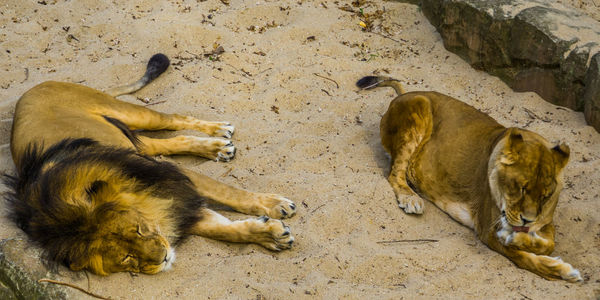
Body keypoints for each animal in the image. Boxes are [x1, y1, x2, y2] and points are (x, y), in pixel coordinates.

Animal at [3, 53, 296, 274]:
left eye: (139, 230)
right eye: (127, 258)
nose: (163, 258)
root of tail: (31, 90)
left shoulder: (171, 179)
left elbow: (230, 193)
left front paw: (275, 206)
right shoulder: (172, 207)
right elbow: (225, 230)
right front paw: (270, 235)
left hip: (132, 115)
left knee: (173, 119)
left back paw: (219, 131)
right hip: (130, 142)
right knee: (166, 142)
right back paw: (217, 148)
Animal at [356, 75, 580, 282]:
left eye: (546, 195)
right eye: (520, 188)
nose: (527, 221)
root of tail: (404, 94)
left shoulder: (545, 223)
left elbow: (549, 245)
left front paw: (519, 238)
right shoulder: (488, 230)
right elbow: (523, 258)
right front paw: (564, 271)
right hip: (419, 106)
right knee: (394, 174)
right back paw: (410, 198)